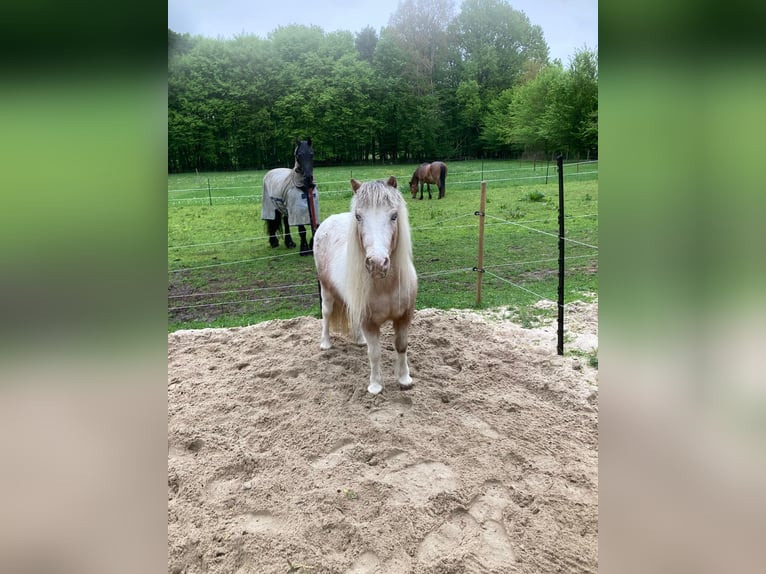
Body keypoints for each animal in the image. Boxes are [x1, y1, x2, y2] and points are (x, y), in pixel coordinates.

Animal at [313, 176, 418, 395]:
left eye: (394, 215)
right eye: (358, 216)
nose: (377, 263)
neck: (386, 286)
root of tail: (327, 222)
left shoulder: (404, 317)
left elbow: (401, 346)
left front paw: (405, 379)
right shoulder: (369, 322)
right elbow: (375, 353)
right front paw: (375, 386)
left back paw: (359, 340)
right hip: (326, 291)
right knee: (326, 314)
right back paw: (326, 344)